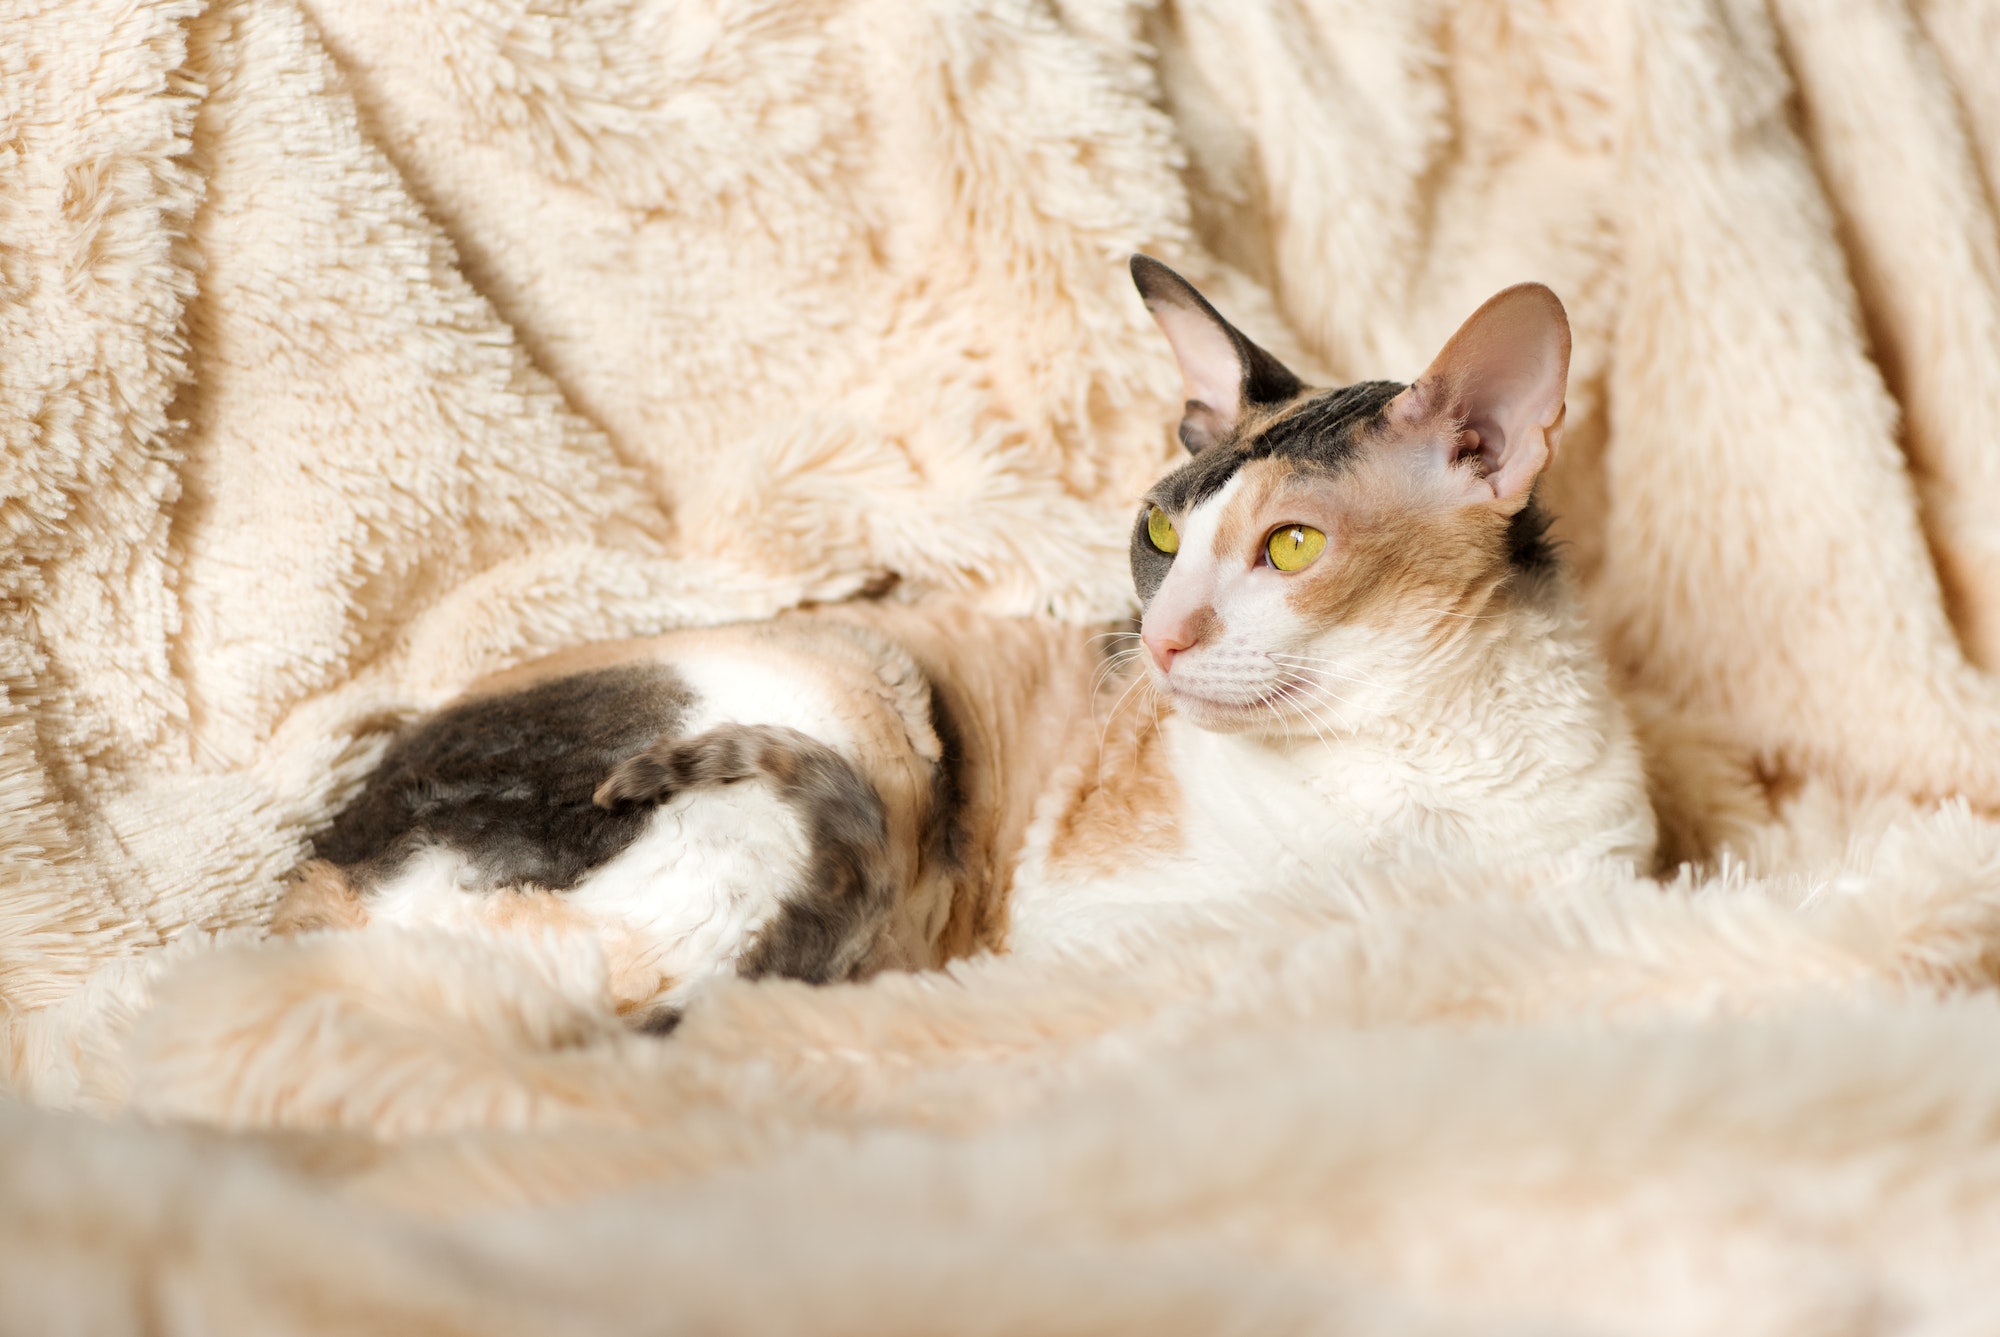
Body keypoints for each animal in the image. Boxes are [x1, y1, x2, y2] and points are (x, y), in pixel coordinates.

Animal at [278, 258, 1656, 1024]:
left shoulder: (1599, 879)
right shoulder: (1086, 923)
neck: (1406, 772)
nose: (1155, 640)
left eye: (1292, 548)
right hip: (855, 698)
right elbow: (1279, 927)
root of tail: (314, 880)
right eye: (1161, 529)